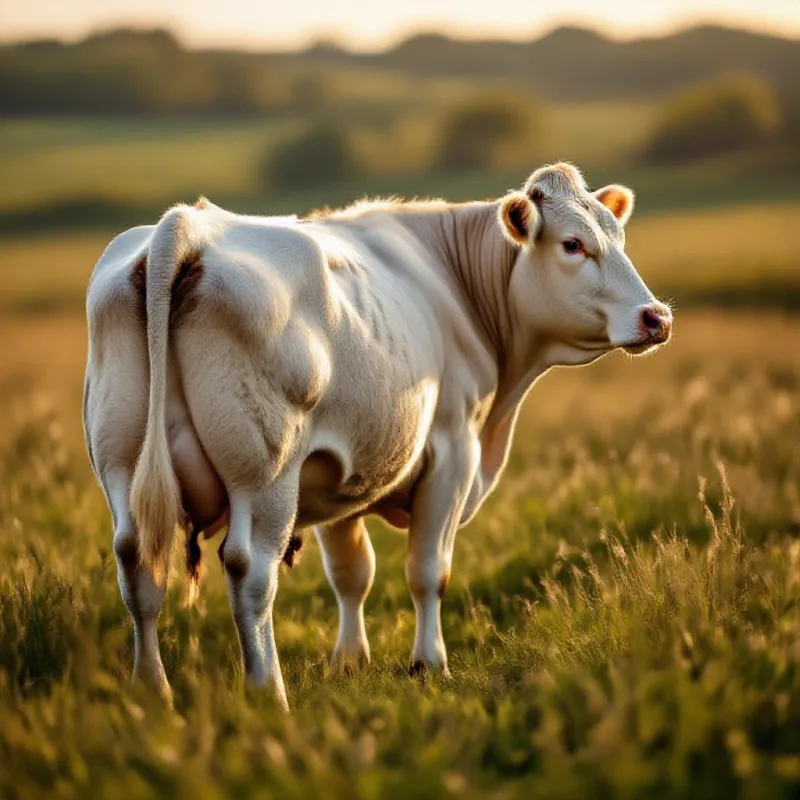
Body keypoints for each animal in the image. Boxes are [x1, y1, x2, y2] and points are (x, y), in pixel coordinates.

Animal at [83, 162, 672, 710]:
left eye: (617, 237)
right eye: (573, 244)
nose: (656, 317)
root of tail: (186, 226)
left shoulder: (331, 471)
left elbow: (351, 572)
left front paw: (349, 661)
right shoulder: (453, 452)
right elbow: (428, 571)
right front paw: (429, 664)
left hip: (123, 466)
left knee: (137, 563)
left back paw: (152, 691)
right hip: (265, 477)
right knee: (249, 572)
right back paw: (268, 691)